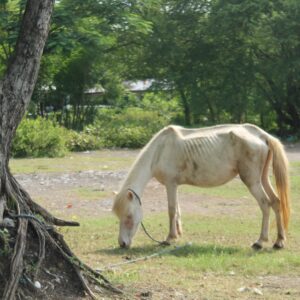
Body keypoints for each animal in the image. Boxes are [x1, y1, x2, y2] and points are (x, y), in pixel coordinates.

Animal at [111, 123, 290, 250]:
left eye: (129, 216)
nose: (122, 244)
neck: (160, 150)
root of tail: (262, 135)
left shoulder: (170, 184)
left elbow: (171, 210)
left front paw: (169, 238)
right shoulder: (174, 185)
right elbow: (177, 210)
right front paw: (177, 235)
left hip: (252, 181)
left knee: (265, 204)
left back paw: (260, 242)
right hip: (262, 178)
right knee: (276, 202)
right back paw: (279, 241)